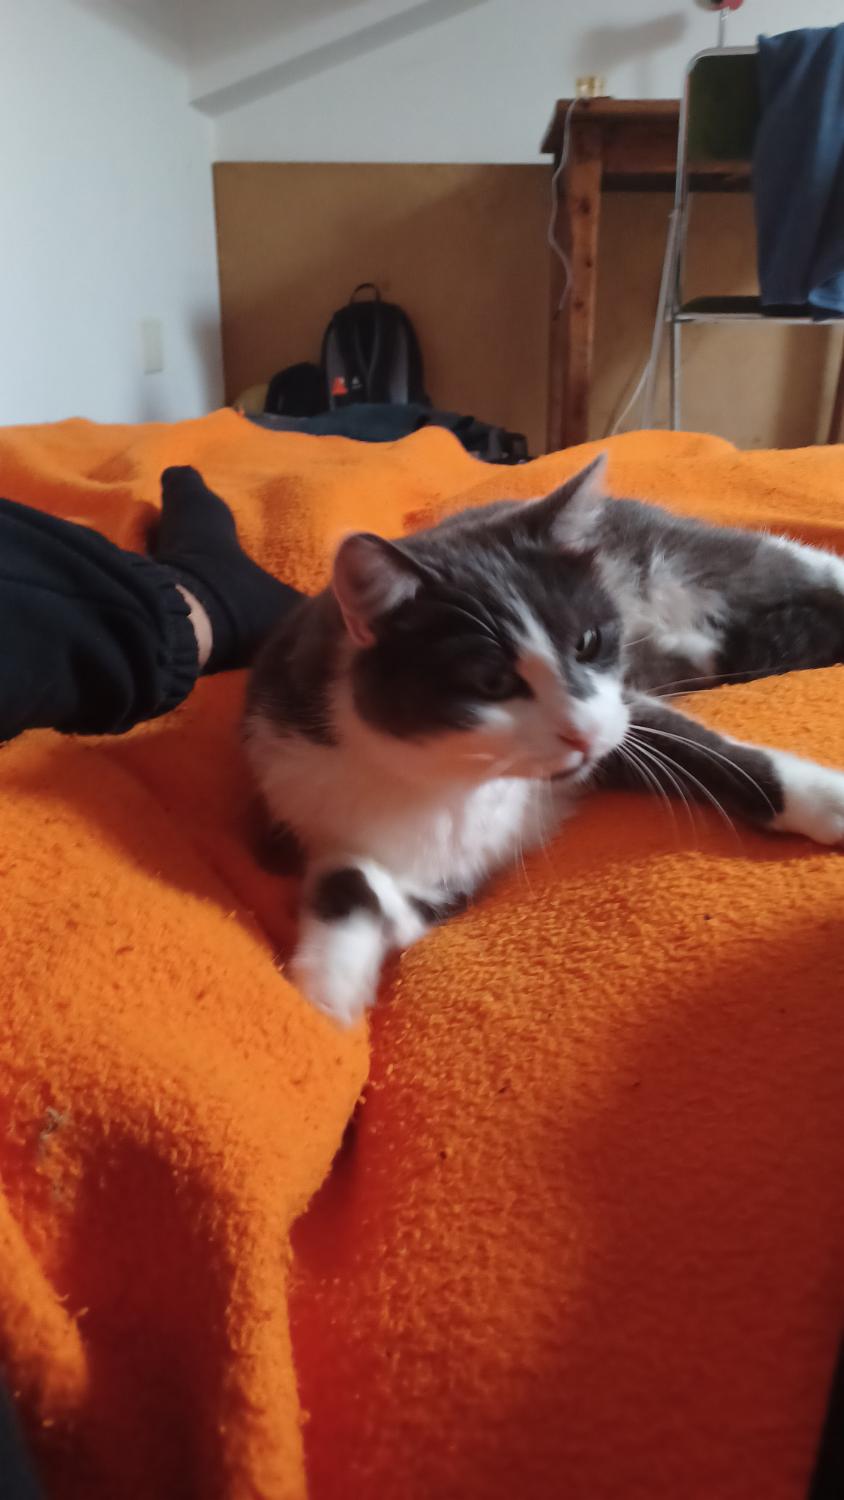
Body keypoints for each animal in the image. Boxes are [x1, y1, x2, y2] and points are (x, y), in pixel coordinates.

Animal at [245, 454, 844, 1026]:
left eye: (588, 642)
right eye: (492, 682)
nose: (582, 734)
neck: (461, 780)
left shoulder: (616, 705)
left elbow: (688, 745)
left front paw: (826, 800)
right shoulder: (315, 793)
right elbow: (361, 885)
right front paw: (326, 997)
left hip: (683, 558)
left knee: (780, 563)